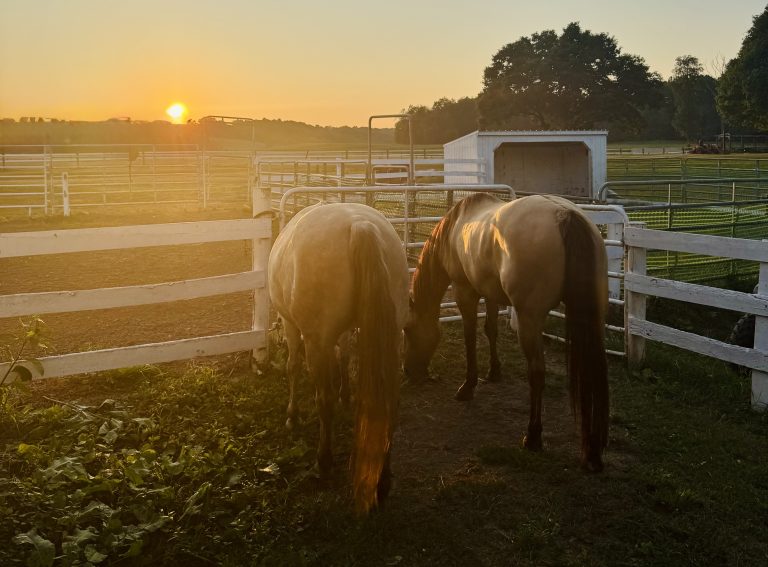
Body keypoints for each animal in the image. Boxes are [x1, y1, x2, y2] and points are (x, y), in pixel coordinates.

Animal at [268, 202, 410, 514]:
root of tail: (359, 225)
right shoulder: (346, 330)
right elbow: (344, 356)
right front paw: (347, 394)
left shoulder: (291, 325)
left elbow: (292, 366)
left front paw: (292, 415)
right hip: (392, 336)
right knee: (390, 401)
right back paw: (383, 481)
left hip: (316, 340)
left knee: (324, 400)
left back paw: (323, 462)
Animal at [403, 193, 609, 471]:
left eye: (409, 331)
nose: (409, 372)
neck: (454, 228)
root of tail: (566, 215)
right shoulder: (489, 292)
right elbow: (491, 330)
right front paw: (494, 372)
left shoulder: (464, 290)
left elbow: (470, 336)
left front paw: (467, 387)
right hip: (591, 318)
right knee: (592, 370)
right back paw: (592, 451)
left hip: (529, 319)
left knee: (537, 372)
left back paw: (533, 436)